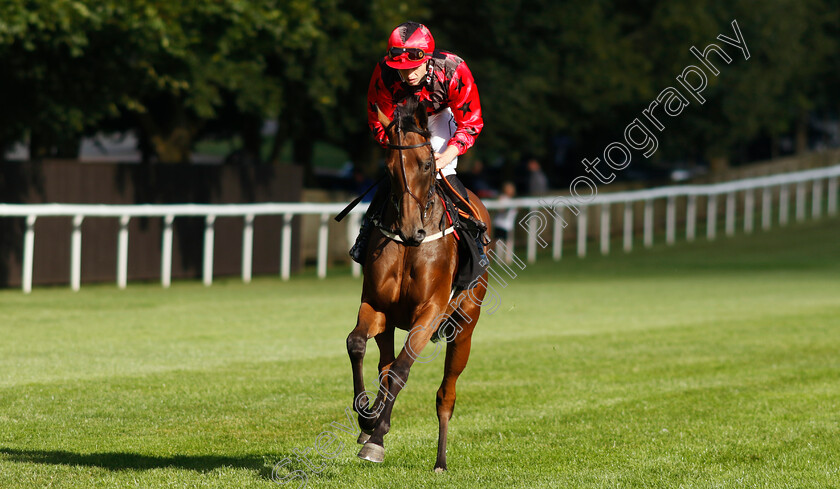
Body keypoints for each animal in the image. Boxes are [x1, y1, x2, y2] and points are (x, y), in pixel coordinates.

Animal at [346, 96, 492, 472]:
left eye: (427, 165)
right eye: (389, 170)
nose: (412, 230)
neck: (411, 246)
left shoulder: (429, 313)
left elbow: (402, 371)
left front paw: (377, 438)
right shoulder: (377, 305)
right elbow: (357, 344)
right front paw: (367, 417)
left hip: (464, 326)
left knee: (445, 394)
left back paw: (440, 459)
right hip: (389, 324)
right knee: (383, 363)